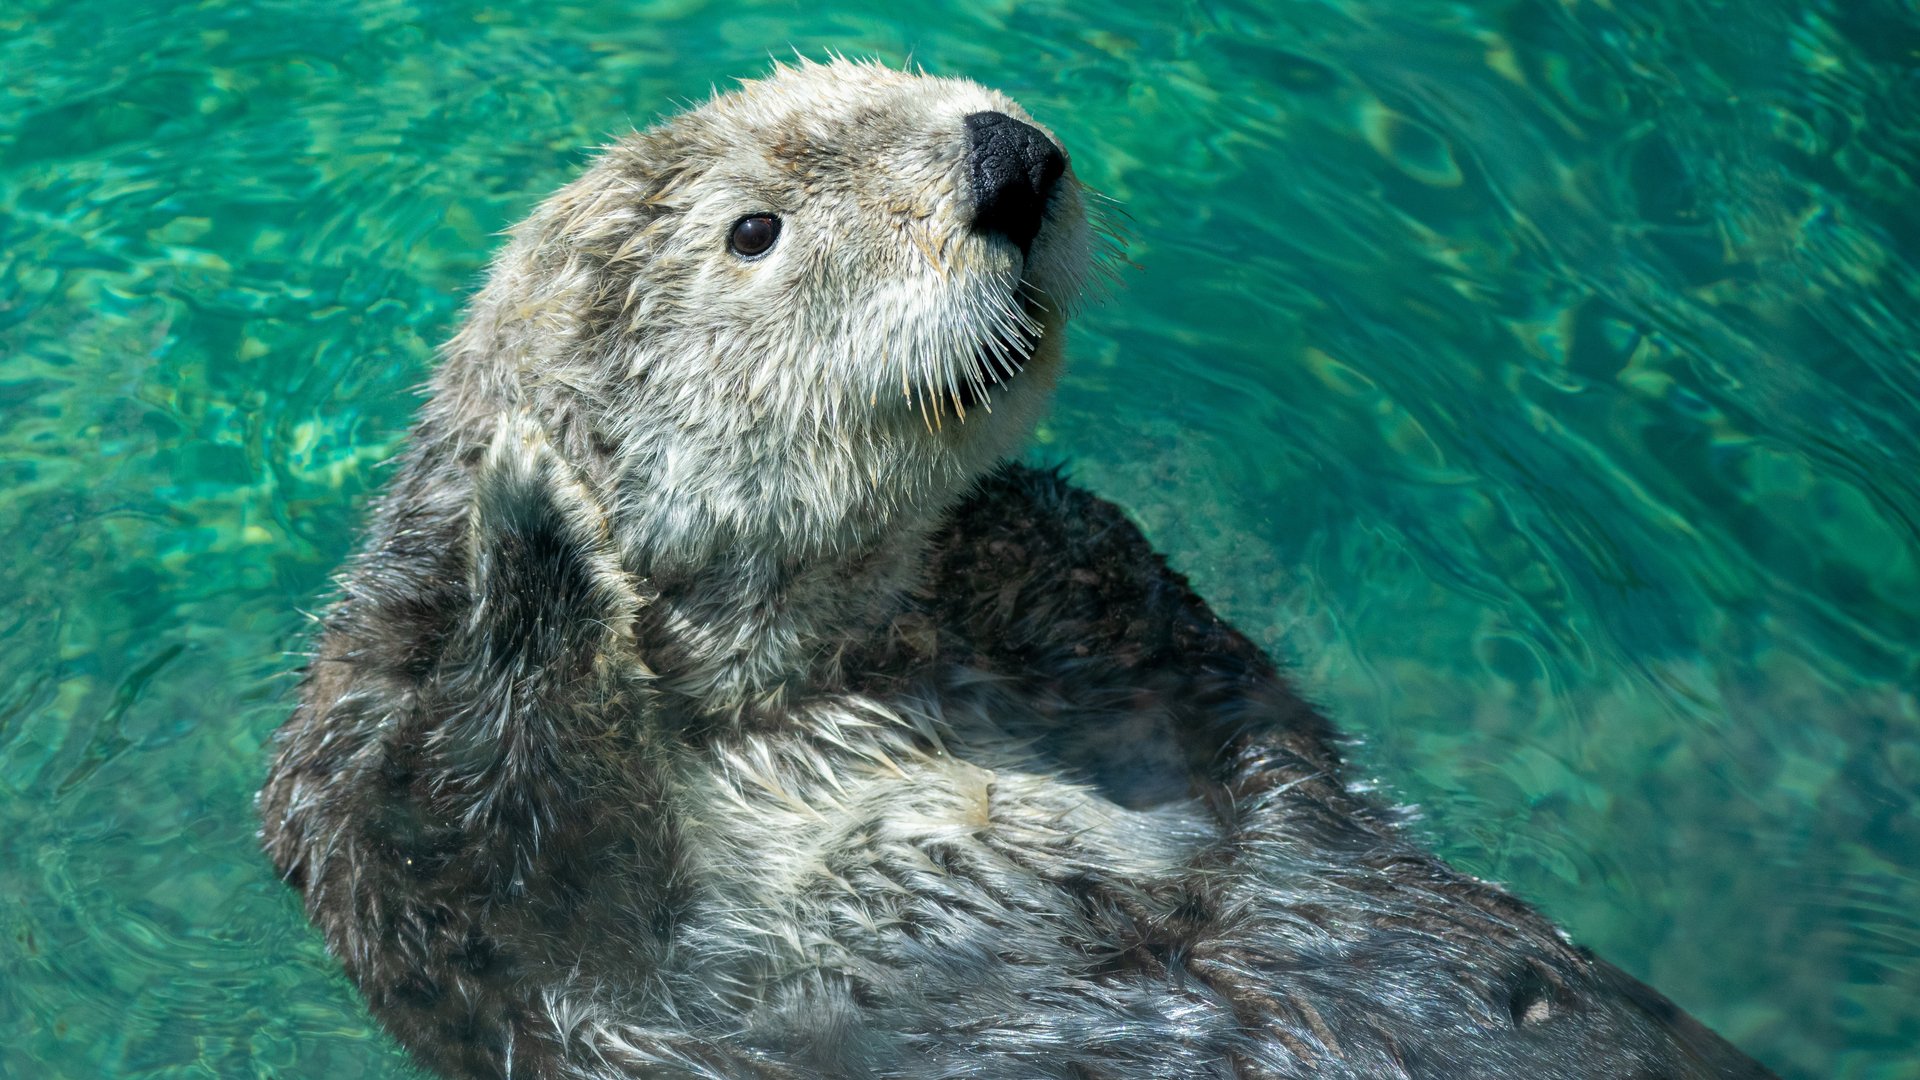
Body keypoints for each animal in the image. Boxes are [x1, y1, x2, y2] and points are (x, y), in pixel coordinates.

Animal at [260, 59, 1775, 1079]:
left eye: (903, 80)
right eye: (752, 230)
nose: (1008, 157)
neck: (812, 677)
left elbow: (1234, 725)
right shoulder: (409, 846)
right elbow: (484, 857)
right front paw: (530, 525)